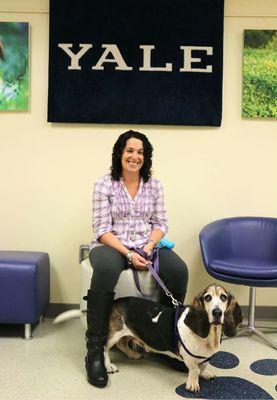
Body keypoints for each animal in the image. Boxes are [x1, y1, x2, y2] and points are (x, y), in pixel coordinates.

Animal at [54, 282, 242, 392]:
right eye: (208, 298)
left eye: (223, 297)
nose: (217, 313)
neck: (210, 334)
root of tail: (114, 302)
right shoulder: (188, 357)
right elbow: (195, 369)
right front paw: (193, 383)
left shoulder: (205, 357)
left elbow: (203, 366)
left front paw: (205, 373)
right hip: (115, 334)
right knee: (105, 347)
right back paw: (109, 366)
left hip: (127, 333)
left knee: (123, 345)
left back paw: (133, 354)